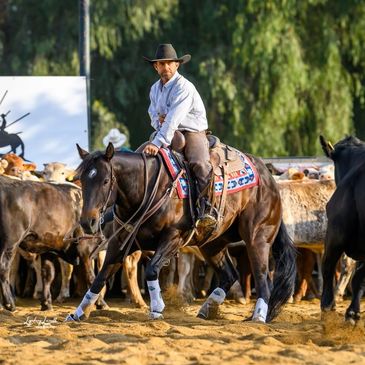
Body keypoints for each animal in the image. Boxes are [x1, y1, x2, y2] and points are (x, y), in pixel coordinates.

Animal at [66, 144, 296, 322]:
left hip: (257, 238)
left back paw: (258, 316)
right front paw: (78, 313)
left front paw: (157, 308)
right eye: (82, 180)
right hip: (212, 244)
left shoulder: (173, 238)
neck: (148, 188)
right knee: (230, 275)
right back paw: (207, 309)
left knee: (263, 278)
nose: (88, 221)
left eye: (105, 181)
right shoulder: (119, 244)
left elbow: (151, 269)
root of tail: (268, 178)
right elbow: (99, 278)